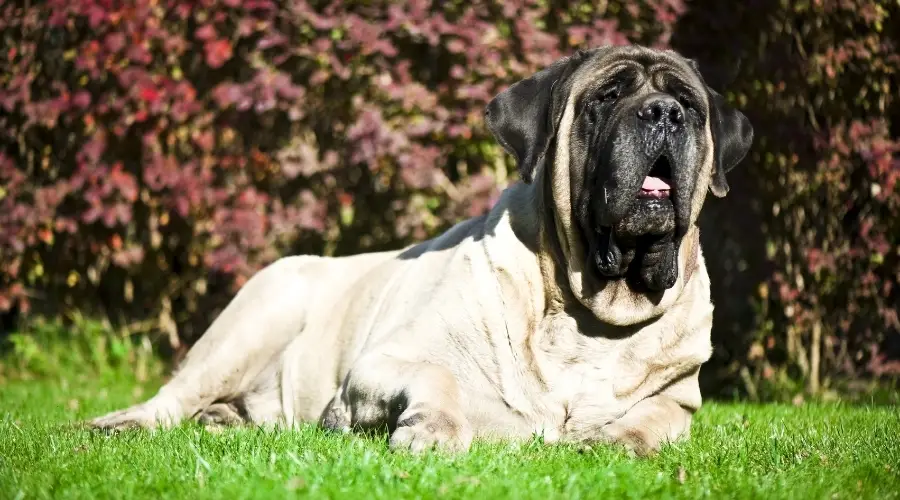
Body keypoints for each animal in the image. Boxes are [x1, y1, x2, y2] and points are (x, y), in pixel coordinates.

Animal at [89, 45, 752, 456]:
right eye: (606, 98)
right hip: (257, 315)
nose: (663, 112)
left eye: (690, 106)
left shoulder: (679, 400)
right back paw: (123, 423)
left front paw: (618, 442)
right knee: (174, 395)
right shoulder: (381, 363)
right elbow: (438, 377)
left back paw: (225, 420)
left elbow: (656, 419)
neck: (586, 309)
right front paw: (431, 431)